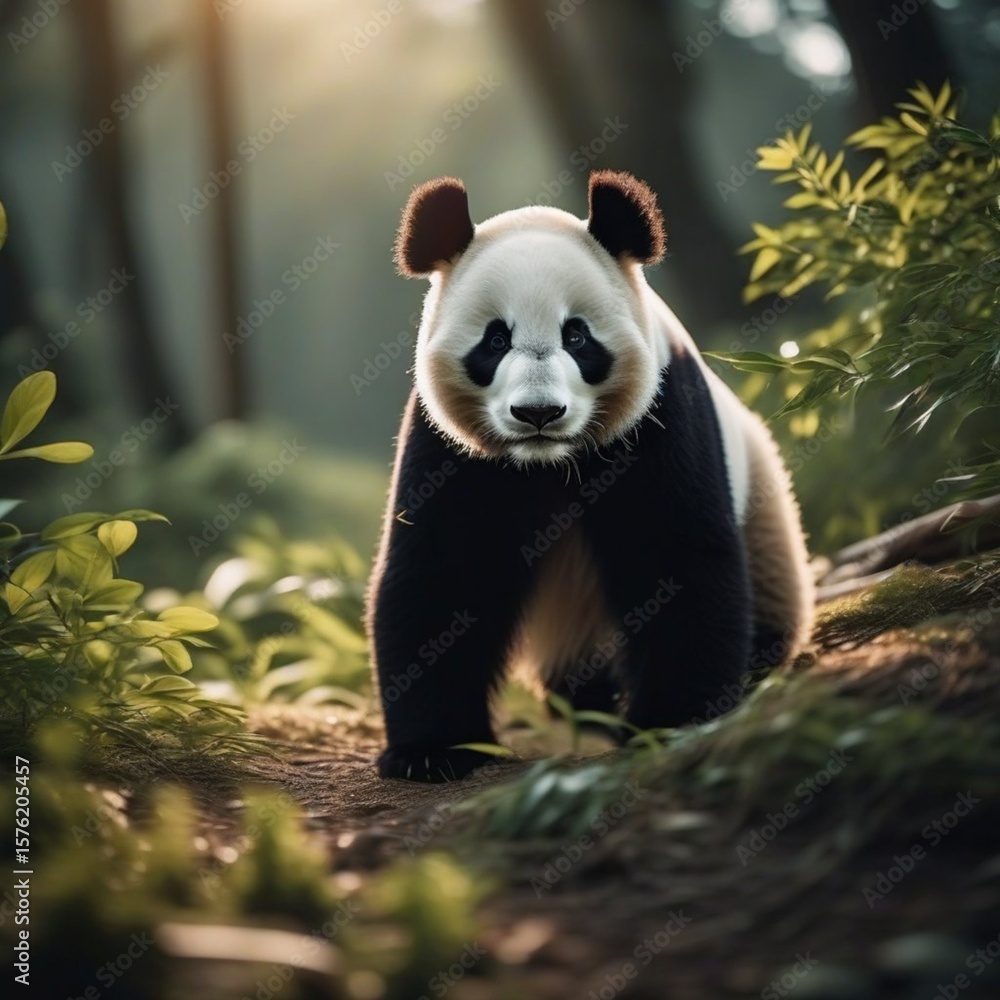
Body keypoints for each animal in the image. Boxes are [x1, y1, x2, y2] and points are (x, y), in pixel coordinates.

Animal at [367, 170, 814, 782]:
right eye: (495, 339)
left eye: (576, 337)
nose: (537, 413)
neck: (549, 464)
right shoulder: (449, 450)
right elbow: (441, 572)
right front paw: (432, 751)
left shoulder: (661, 414)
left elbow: (674, 557)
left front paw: (670, 722)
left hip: (763, 504)